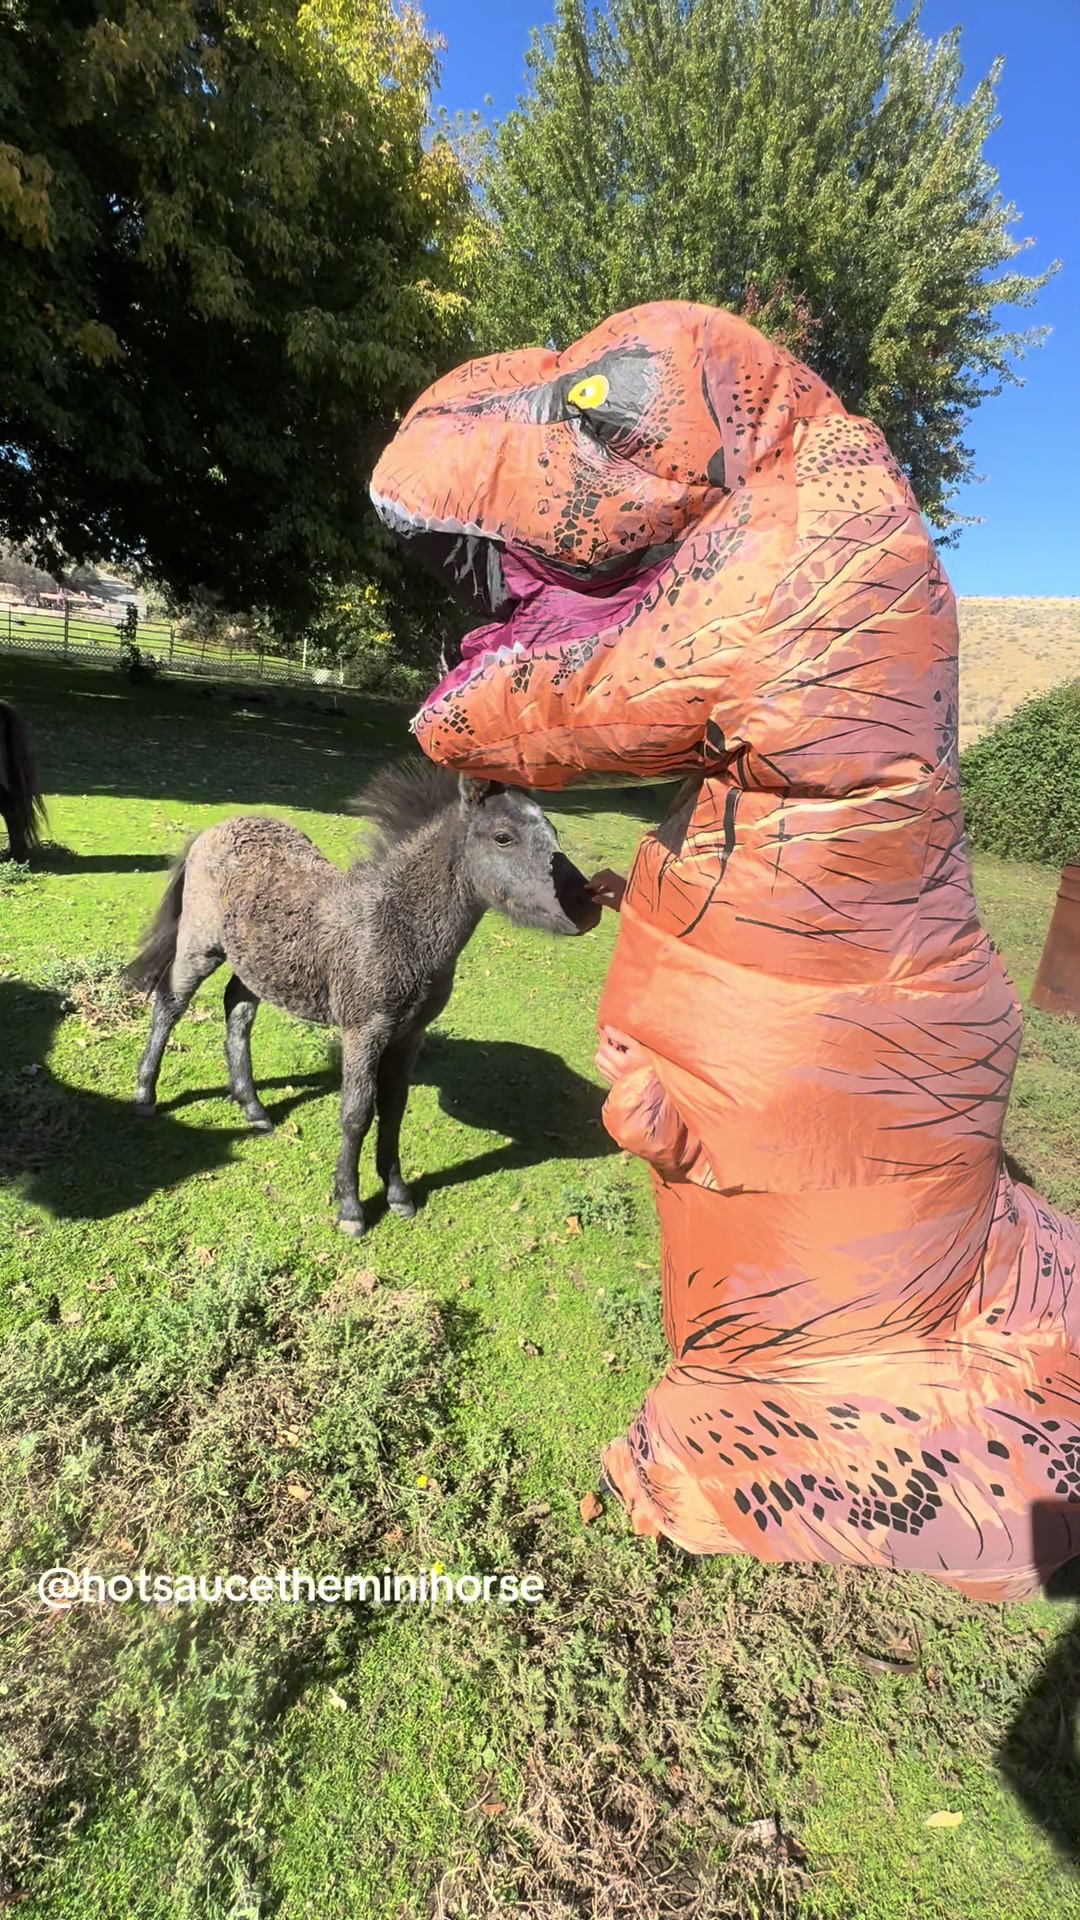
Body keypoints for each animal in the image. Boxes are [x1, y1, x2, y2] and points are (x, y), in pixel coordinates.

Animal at [126, 758, 602, 1235]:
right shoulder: (363, 1031)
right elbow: (357, 1114)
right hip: (200, 945)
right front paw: (350, 1207)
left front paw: (399, 1195)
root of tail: (214, 828)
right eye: (504, 837)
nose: (586, 906)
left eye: (554, 832)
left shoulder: (409, 1036)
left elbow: (393, 1109)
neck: (395, 925)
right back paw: (145, 1096)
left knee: (237, 1011)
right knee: (169, 1003)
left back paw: (253, 1107)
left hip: (259, 964)